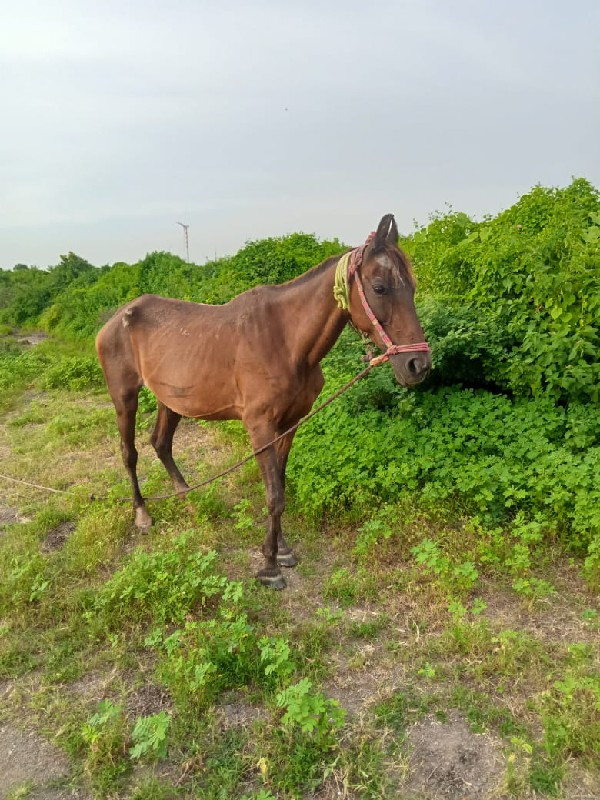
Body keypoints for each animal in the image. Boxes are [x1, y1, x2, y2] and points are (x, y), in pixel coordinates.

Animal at [96, 214, 428, 588]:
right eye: (380, 287)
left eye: (412, 287)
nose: (418, 364)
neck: (286, 341)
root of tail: (116, 318)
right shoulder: (259, 427)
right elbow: (274, 496)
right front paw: (269, 566)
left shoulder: (290, 424)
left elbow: (279, 484)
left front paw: (281, 550)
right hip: (124, 397)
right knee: (129, 453)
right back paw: (142, 513)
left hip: (171, 400)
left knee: (161, 443)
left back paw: (188, 497)